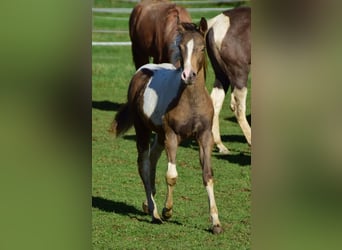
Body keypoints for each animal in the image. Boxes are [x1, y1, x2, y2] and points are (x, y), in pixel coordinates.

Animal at [113, 20, 223, 233]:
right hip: (143, 129)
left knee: (153, 157)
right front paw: (167, 210)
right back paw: (154, 212)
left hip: (160, 134)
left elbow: (208, 175)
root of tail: (143, 70)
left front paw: (216, 222)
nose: (188, 75)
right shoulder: (172, 135)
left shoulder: (205, 136)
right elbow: (171, 175)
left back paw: (148, 204)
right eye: (181, 48)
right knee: (144, 164)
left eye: (202, 48)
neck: (190, 101)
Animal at [206, 6, 251, 153]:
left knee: (215, 102)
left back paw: (220, 145)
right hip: (239, 72)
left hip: (221, 75)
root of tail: (214, 25)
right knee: (238, 107)